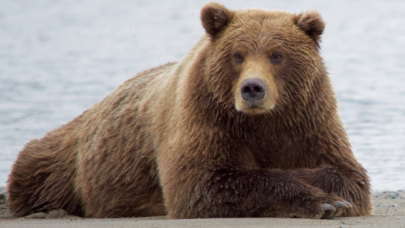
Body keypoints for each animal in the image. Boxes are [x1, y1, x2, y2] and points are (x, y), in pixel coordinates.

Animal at [7, 2, 370, 219]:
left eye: (277, 55)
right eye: (238, 55)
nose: (253, 88)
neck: (261, 122)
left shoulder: (308, 121)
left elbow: (349, 174)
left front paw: (331, 195)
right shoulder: (205, 118)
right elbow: (203, 182)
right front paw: (323, 201)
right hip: (65, 162)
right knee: (36, 169)